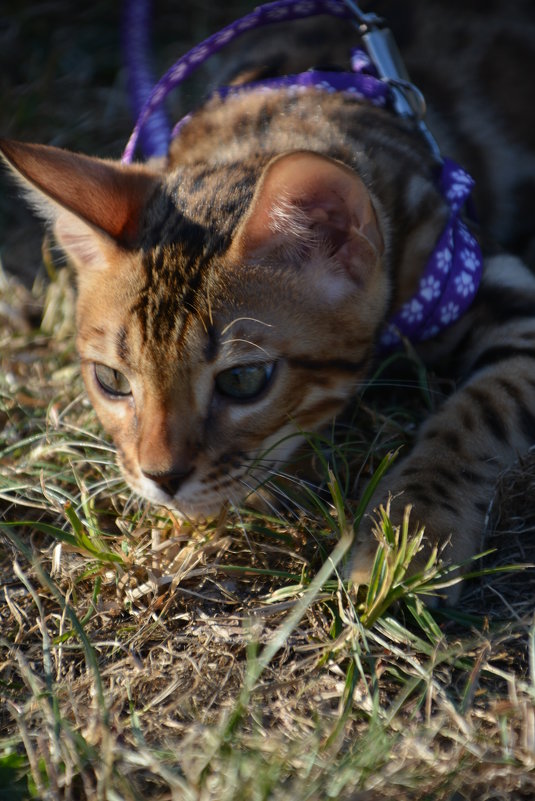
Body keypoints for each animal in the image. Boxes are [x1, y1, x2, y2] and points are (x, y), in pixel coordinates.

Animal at [1, 1, 535, 600]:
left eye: (243, 380)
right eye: (111, 379)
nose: (162, 477)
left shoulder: (492, 281)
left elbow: (480, 410)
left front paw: (411, 532)